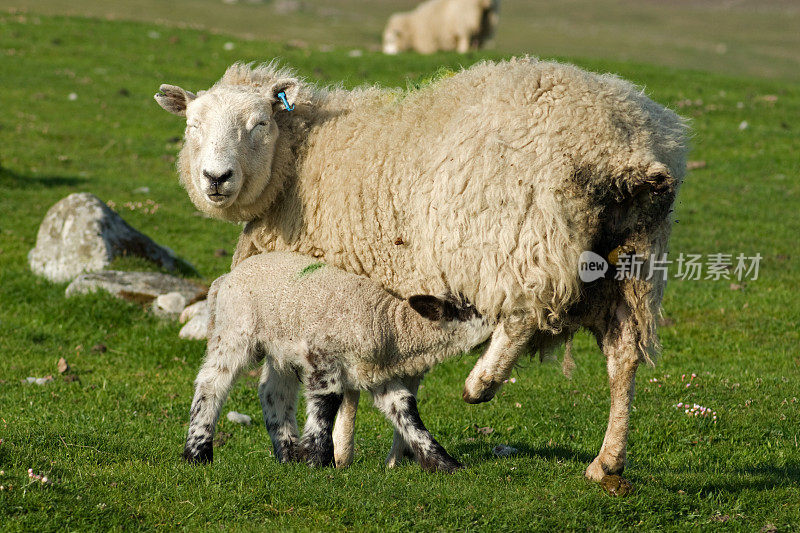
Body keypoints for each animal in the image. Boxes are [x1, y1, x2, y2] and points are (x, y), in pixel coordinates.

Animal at [184, 251, 494, 472]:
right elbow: (326, 403)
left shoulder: (377, 374)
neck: (388, 326)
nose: (497, 318)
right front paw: (319, 460)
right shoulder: (322, 357)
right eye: (467, 310)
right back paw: (197, 452)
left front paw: (445, 464)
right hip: (234, 330)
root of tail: (224, 279)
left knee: (273, 392)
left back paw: (288, 455)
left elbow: (406, 410)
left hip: (279, 345)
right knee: (211, 383)